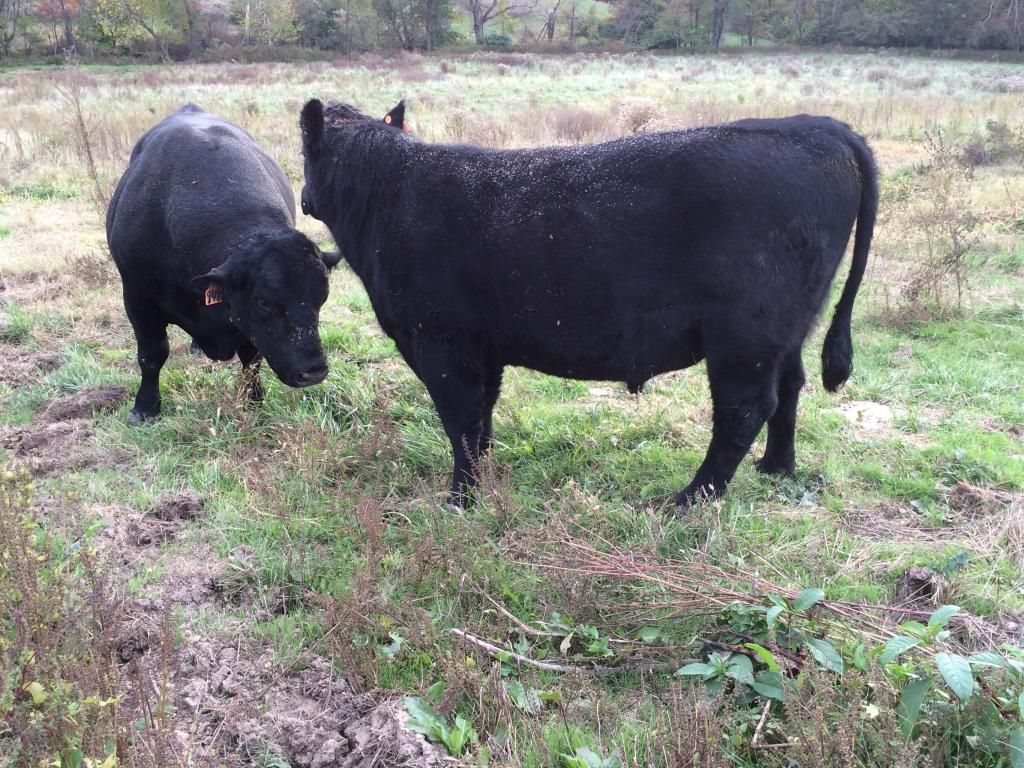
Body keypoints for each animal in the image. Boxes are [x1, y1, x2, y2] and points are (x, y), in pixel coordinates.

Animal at [107, 104, 342, 425]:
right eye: (263, 302)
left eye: (322, 298)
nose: (314, 371)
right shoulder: (137, 297)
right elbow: (152, 354)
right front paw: (145, 407)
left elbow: (251, 358)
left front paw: (254, 399)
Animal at [298, 99, 878, 509]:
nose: (304, 199)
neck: (389, 195)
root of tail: (819, 126)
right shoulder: (484, 345)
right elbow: (482, 416)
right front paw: (484, 474)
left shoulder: (441, 341)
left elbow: (459, 420)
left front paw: (460, 499)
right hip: (787, 329)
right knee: (790, 388)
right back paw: (775, 467)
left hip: (744, 338)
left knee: (744, 410)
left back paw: (689, 500)